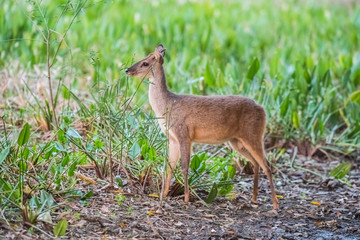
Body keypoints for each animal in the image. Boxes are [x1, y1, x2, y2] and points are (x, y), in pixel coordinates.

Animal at [125, 44, 280, 209]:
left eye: (145, 63)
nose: (127, 70)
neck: (168, 105)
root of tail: (263, 110)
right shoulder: (172, 138)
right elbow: (170, 167)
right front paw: (164, 194)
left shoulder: (184, 134)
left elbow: (184, 167)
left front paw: (186, 198)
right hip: (236, 141)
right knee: (256, 163)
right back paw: (254, 199)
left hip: (253, 134)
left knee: (267, 165)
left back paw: (275, 205)